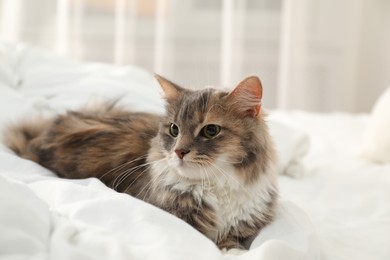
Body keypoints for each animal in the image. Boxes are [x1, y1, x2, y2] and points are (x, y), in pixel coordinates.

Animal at [3, 75, 278, 250]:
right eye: (174, 129)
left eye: (211, 130)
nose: (179, 152)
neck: (216, 185)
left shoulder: (243, 228)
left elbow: (233, 245)